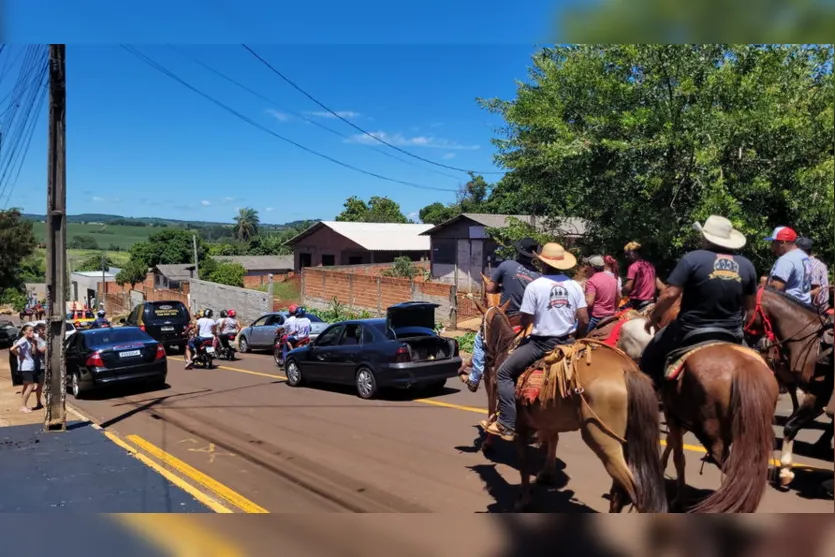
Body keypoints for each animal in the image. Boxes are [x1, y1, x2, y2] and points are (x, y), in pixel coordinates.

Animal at [476, 304, 668, 512]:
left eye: (480, 329)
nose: (487, 359)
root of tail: (627, 370)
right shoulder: (548, 418)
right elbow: (552, 440)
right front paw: (546, 474)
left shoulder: (520, 426)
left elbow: (524, 463)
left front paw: (524, 500)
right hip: (627, 441)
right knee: (620, 492)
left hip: (602, 440)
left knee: (634, 492)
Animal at [624, 310, 780, 510]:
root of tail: (744, 366)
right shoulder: (682, 419)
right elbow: (672, 443)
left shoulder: (673, 415)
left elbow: (678, 456)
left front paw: (679, 499)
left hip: (712, 434)